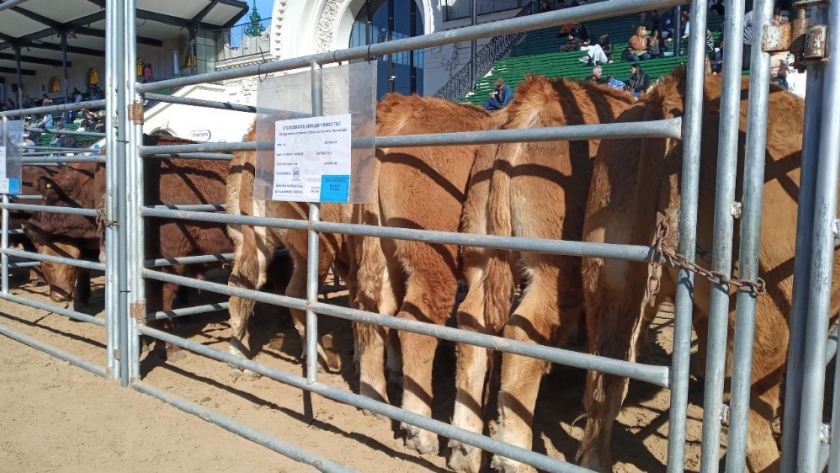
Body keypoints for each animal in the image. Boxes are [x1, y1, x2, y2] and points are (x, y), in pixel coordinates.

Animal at [450, 75, 632, 470]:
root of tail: (538, 93)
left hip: (481, 253)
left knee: (472, 322)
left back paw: (465, 448)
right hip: (554, 270)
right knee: (524, 332)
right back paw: (514, 456)